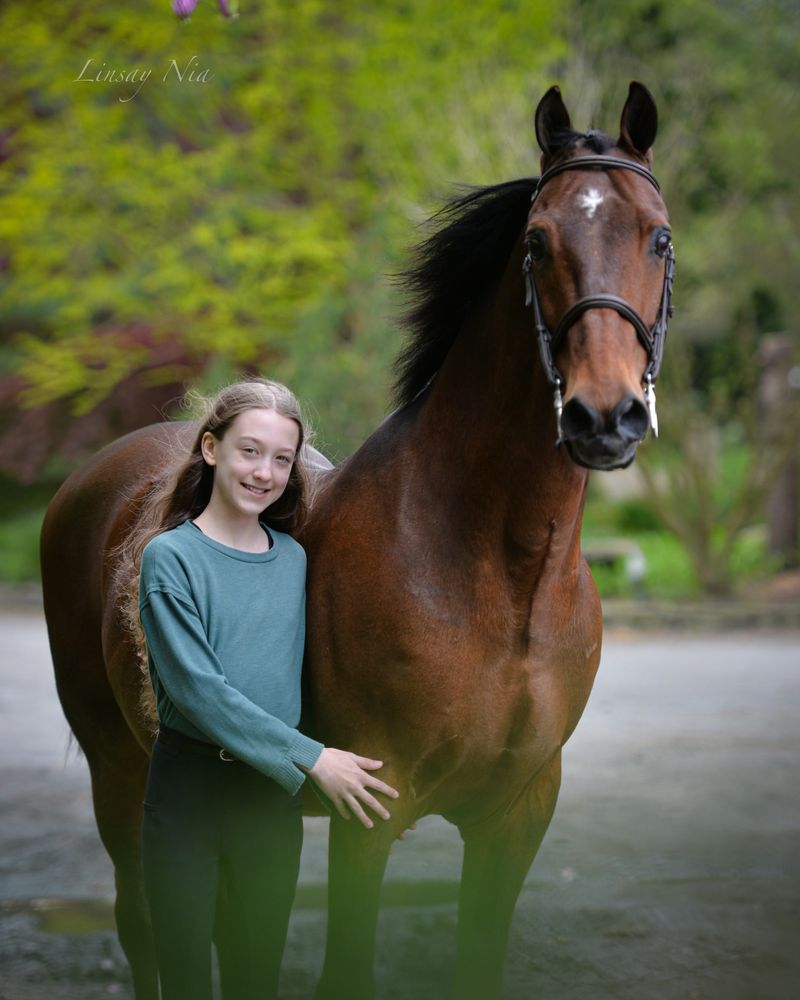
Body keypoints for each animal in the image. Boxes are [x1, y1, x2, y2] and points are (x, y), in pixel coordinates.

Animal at [40, 80, 672, 1000]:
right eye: (537, 240)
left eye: (658, 236)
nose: (604, 416)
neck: (496, 574)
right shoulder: (368, 815)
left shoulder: (517, 816)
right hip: (118, 770)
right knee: (148, 927)